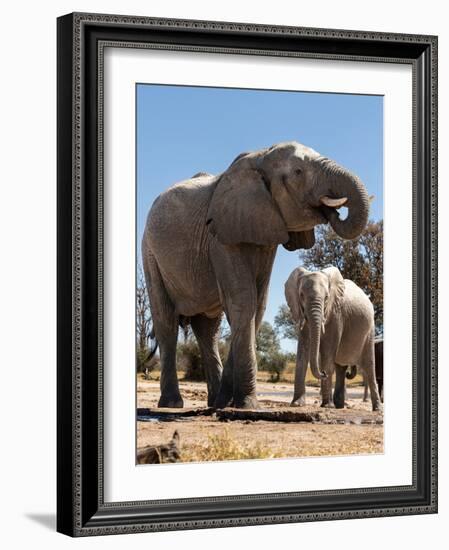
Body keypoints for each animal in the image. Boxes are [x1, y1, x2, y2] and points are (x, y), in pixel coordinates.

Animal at [142, 142, 370, 410]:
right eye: (298, 172)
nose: (332, 211)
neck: (260, 157)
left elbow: (257, 304)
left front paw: (229, 403)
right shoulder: (221, 234)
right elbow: (244, 300)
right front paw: (247, 405)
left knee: (208, 330)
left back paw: (214, 402)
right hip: (150, 253)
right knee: (166, 321)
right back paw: (172, 404)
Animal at [286, 266, 380, 412]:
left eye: (326, 297)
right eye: (301, 295)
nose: (323, 373)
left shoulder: (337, 314)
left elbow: (328, 352)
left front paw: (326, 405)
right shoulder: (301, 312)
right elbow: (303, 351)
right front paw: (296, 404)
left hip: (370, 330)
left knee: (369, 366)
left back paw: (377, 409)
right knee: (341, 368)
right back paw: (339, 406)